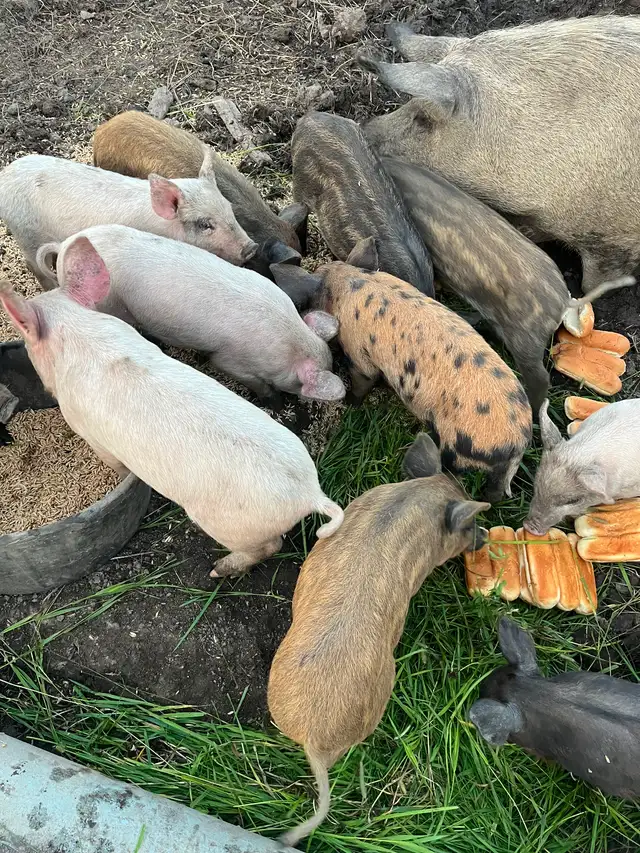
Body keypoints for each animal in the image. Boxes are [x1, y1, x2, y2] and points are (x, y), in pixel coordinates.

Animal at [0, 152, 257, 288]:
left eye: (229, 208)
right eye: (205, 224)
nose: (251, 247)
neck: (166, 228)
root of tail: (5, 176)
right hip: (26, 234)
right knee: (33, 264)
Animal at [0, 245, 344, 578]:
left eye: (28, 346)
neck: (76, 333)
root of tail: (308, 492)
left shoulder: (89, 431)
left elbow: (116, 465)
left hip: (229, 526)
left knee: (269, 547)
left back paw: (218, 571)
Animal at [35, 225, 345, 406]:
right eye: (299, 385)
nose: (305, 402)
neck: (289, 340)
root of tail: (63, 247)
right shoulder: (231, 361)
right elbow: (247, 378)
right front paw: (272, 400)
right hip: (109, 303)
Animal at [271, 238, 532, 501]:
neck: (346, 282)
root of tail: (516, 441)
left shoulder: (359, 355)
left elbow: (363, 381)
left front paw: (351, 404)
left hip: (458, 446)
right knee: (496, 492)